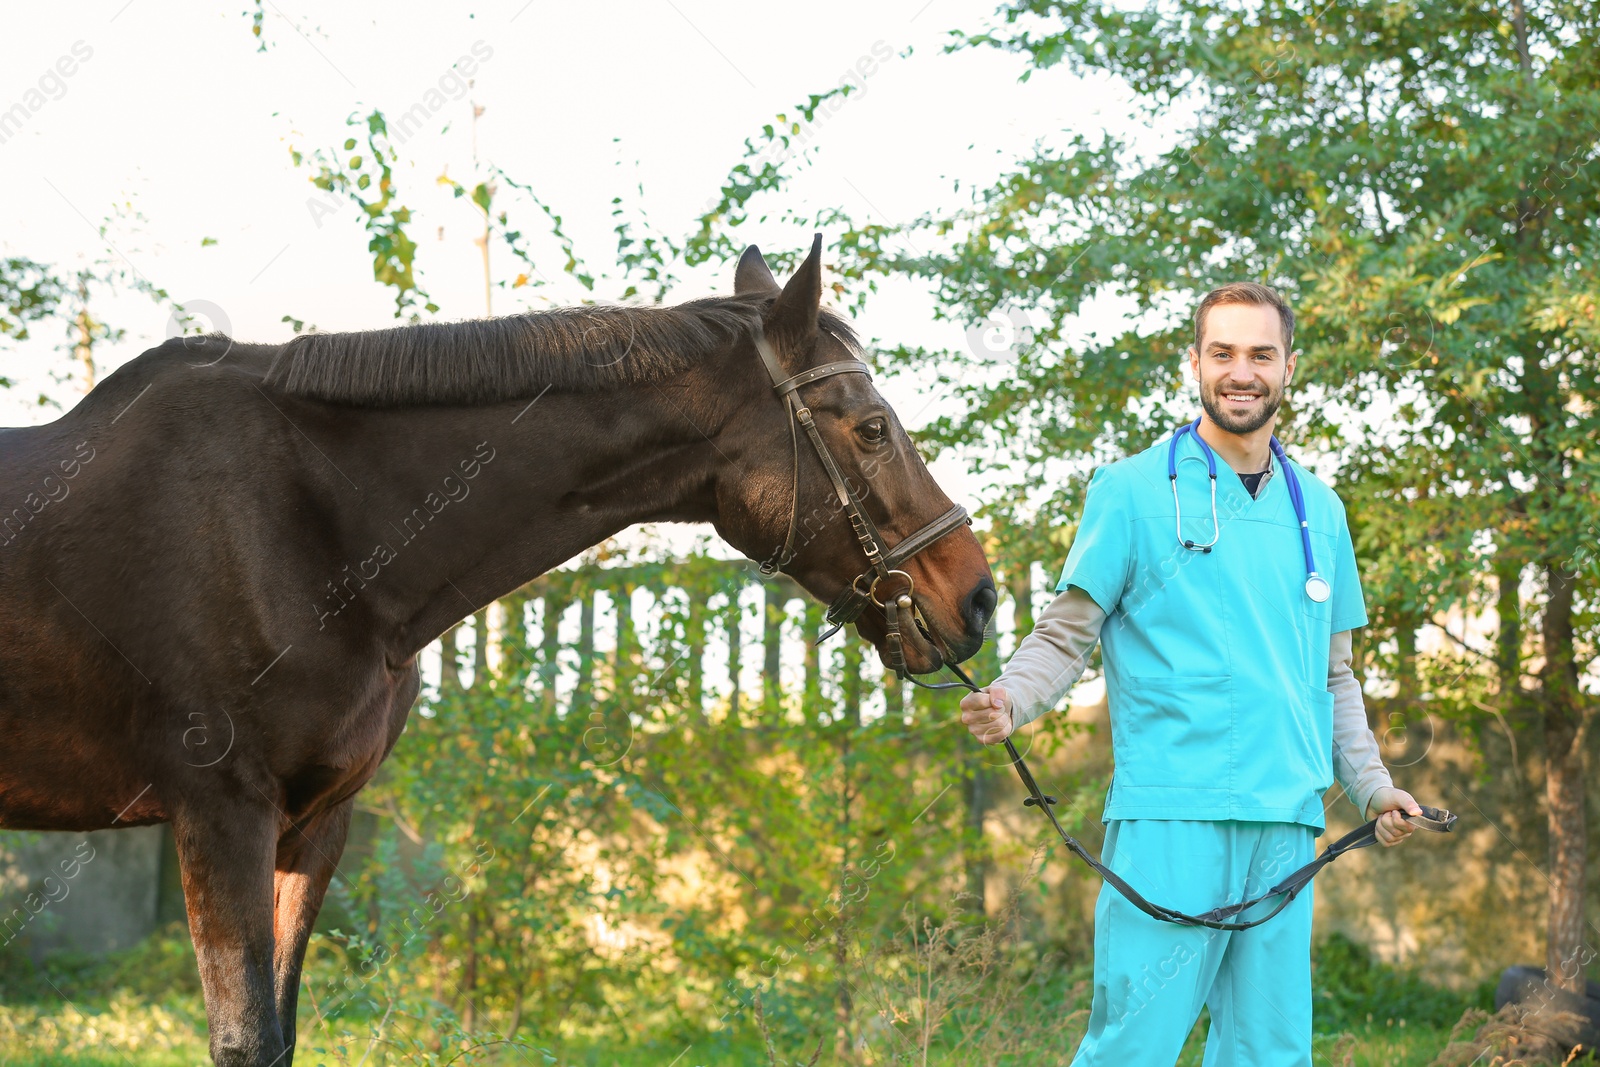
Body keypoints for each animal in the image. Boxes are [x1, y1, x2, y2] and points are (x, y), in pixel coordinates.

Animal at [0, 238, 992, 1062]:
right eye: (870, 426)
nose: (975, 593)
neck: (307, 523)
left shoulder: (315, 823)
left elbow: (278, 1035)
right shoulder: (220, 813)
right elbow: (244, 1040)